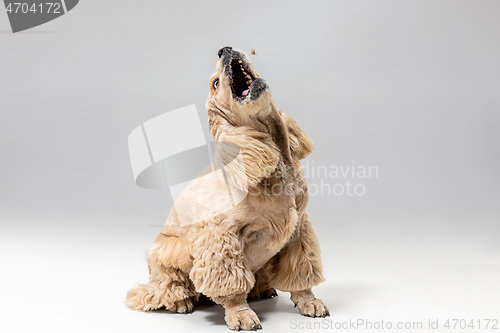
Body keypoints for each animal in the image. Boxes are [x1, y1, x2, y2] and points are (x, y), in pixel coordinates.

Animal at [128, 46, 328, 330]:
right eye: (215, 83)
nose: (224, 49)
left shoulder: (299, 228)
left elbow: (302, 270)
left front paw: (309, 301)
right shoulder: (221, 235)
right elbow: (231, 282)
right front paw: (240, 314)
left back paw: (262, 289)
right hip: (167, 252)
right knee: (160, 289)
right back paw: (180, 301)